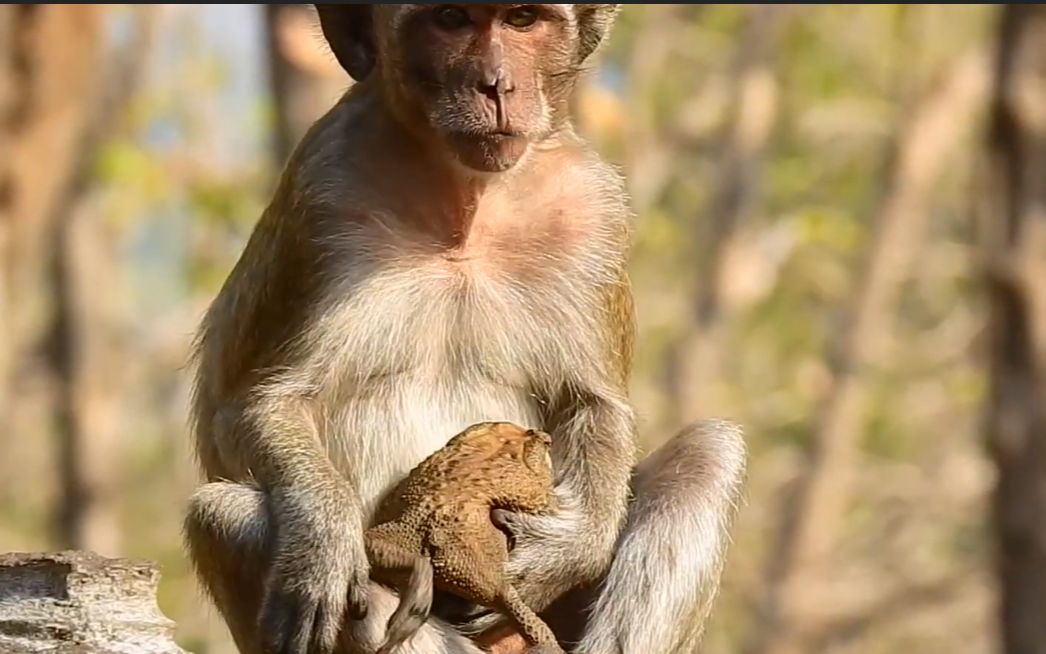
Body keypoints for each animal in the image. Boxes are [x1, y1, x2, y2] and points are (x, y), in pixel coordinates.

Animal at [184, 5, 748, 652]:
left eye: (523, 20)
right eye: (451, 20)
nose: (497, 84)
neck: (466, 207)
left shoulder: (594, 207)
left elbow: (595, 404)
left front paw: (562, 551)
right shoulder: (322, 192)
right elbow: (255, 409)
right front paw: (322, 540)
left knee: (706, 455)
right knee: (225, 516)